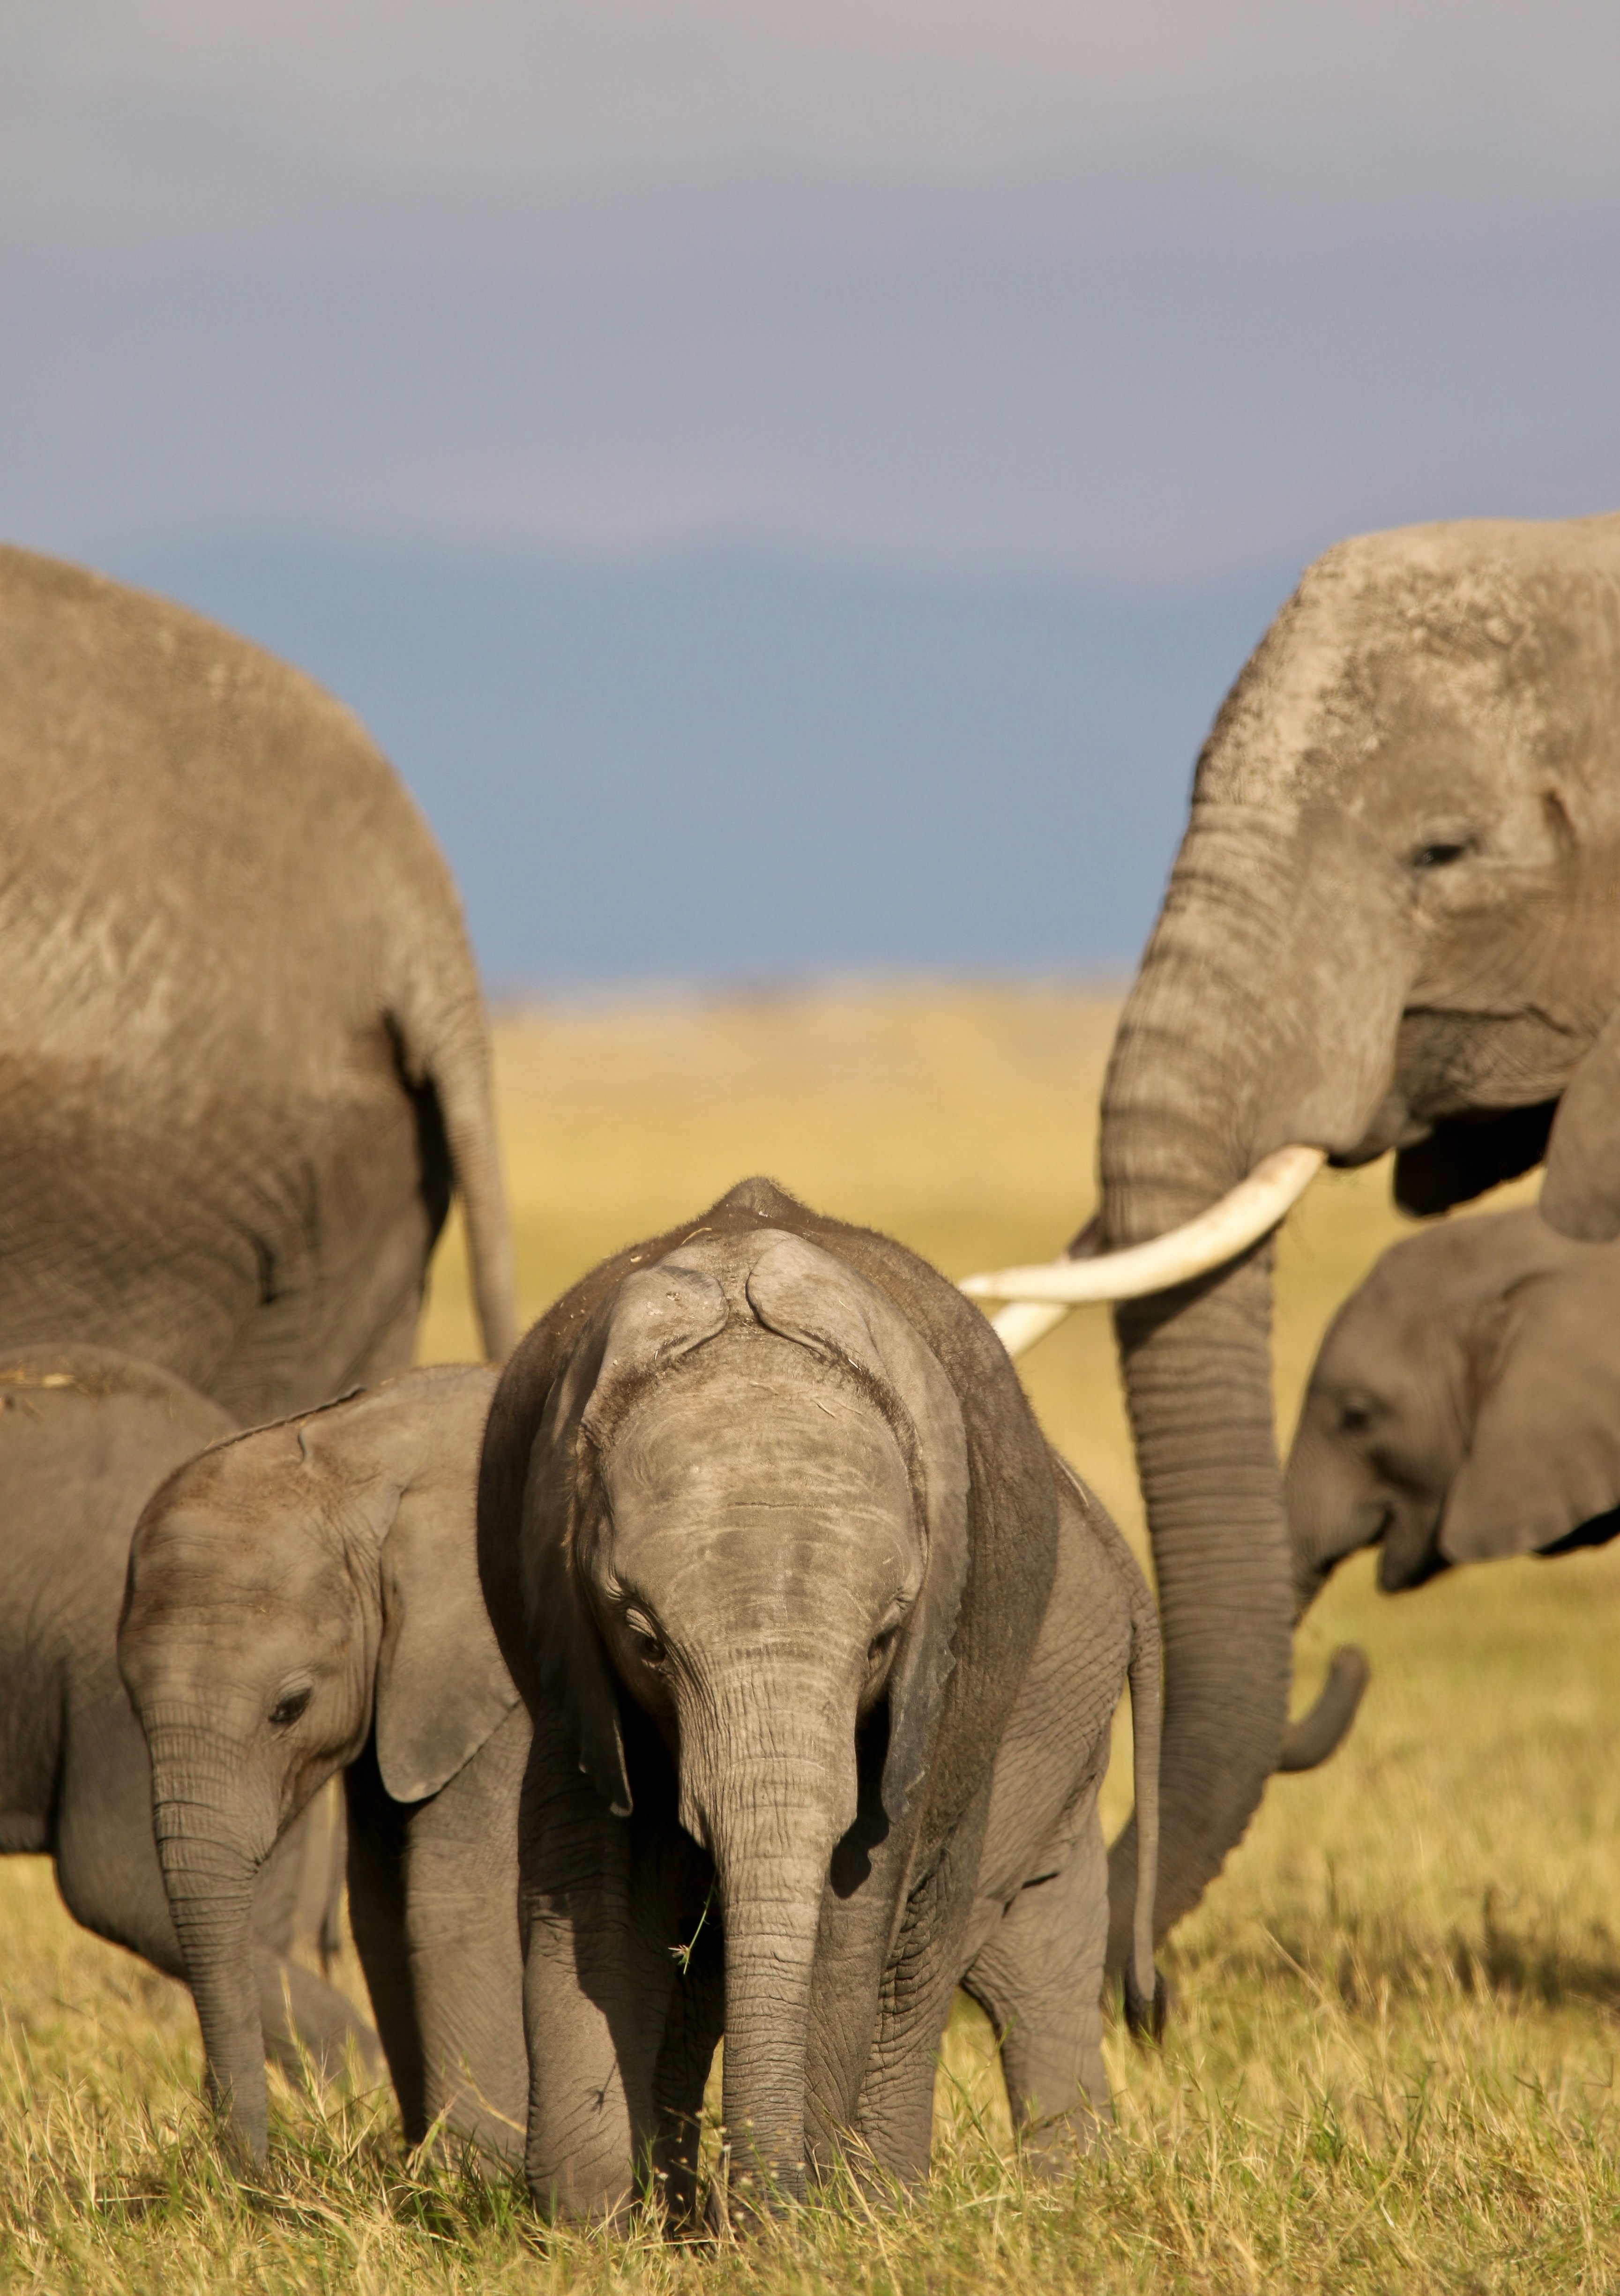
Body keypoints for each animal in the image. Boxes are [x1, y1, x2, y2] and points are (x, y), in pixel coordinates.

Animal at [118, 1361, 529, 2167]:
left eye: (291, 1708)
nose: (250, 2177)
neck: (351, 1457)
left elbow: (459, 1889)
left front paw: (474, 2176)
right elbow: (378, 1901)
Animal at [476, 1175, 1161, 2221]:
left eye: (882, 1640)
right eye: (645, 1641)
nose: (769, 2207)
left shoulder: (925, 1675)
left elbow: (855, 1901)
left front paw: (804, 2226)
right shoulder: (566, 1647)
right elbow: (595, 1891)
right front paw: (593, 2227)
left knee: (947, 1945)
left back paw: (895, 2203)